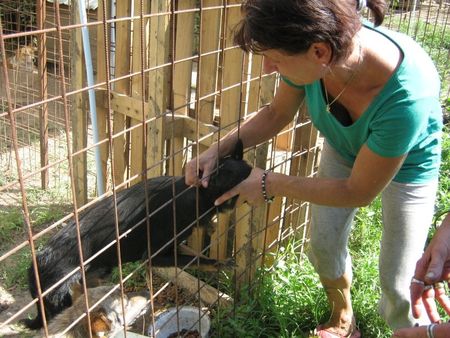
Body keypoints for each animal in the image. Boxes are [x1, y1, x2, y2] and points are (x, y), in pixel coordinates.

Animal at [24, 139, 251, 328]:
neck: (195, 195)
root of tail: (37, 261)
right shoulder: (153, 255)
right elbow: (194, 259)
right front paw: (217, 263)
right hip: (59, 299)